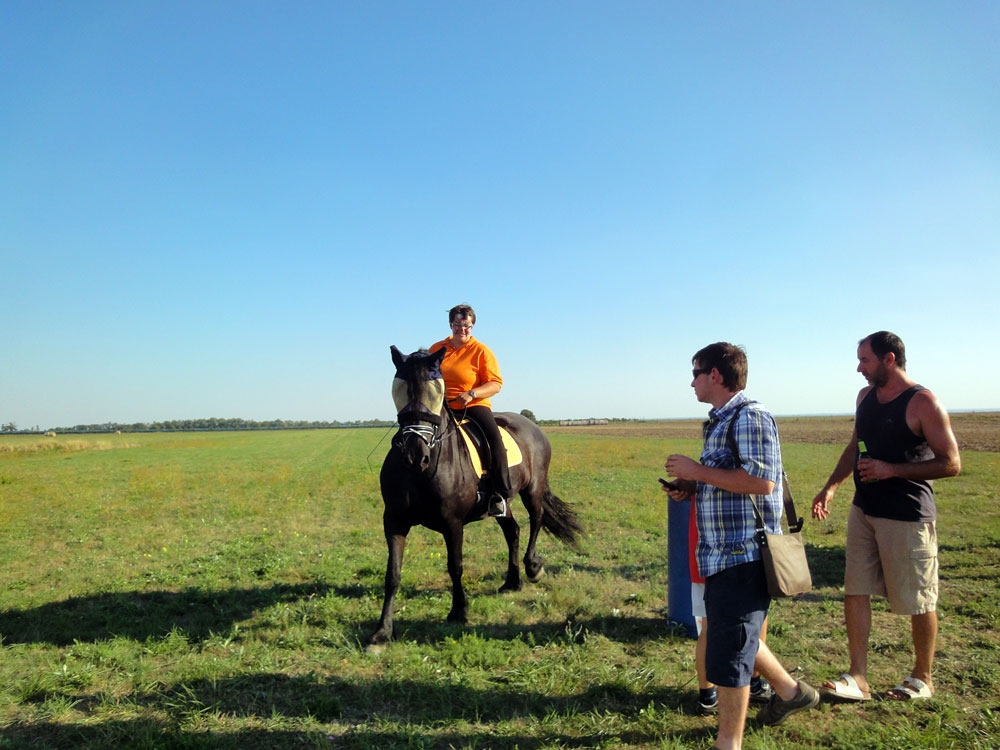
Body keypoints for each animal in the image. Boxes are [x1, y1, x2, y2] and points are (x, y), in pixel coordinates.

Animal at [372, 346, 584, 648]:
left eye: (437, 389)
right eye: (397, 388)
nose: (414, 455)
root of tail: (532, 425)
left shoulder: (452, 523)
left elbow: (455, 566)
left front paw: (459, 611)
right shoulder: (394, 521)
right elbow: (392, 574)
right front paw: (382, 631)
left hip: (533, 490)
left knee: (536, 520)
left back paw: (532, 568)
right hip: (503, 502)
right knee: (513, 531)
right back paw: (512, 582)